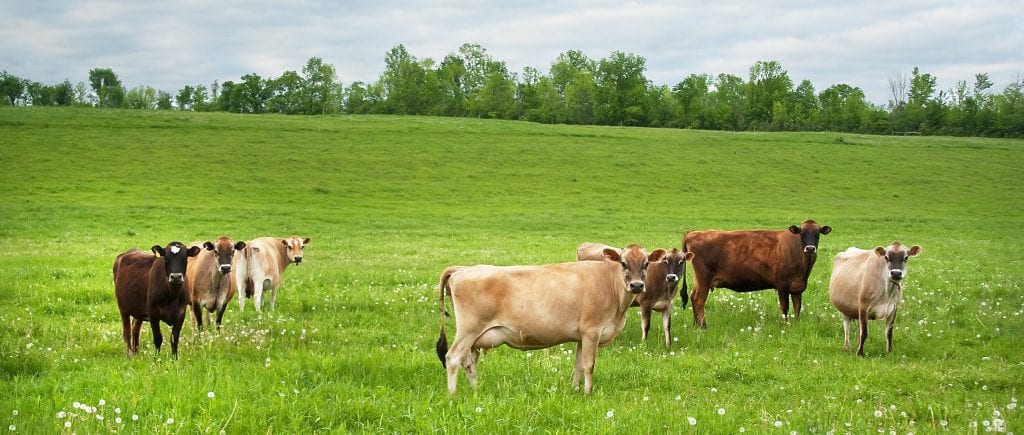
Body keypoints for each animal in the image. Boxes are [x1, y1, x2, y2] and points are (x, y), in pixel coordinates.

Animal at [438, 243, 663, 393]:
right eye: (623, 263)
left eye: (646, 263)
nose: (637, 285)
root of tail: (463, 268)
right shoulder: (592, 331)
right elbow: (589, 365)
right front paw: (588, 392)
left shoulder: (581, 336)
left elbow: (578, 365)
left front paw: (575, 390)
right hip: (468, 329)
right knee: (453, 357)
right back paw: (453, 394)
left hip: (474, 337)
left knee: (468, 362)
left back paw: (475, 390)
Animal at [679, 220, 831, 329]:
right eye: (802, 234)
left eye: (817, 234)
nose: (810, 248)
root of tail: (694, 232)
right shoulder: (782, 285)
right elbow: (784, 307)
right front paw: (784, 325)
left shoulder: (797, 287)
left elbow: (797, 307)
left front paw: (796, 324)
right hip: (703, 278)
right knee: (699, 299)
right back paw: (703, 326)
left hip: (700, 281)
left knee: (693, 296)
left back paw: (696, 324)